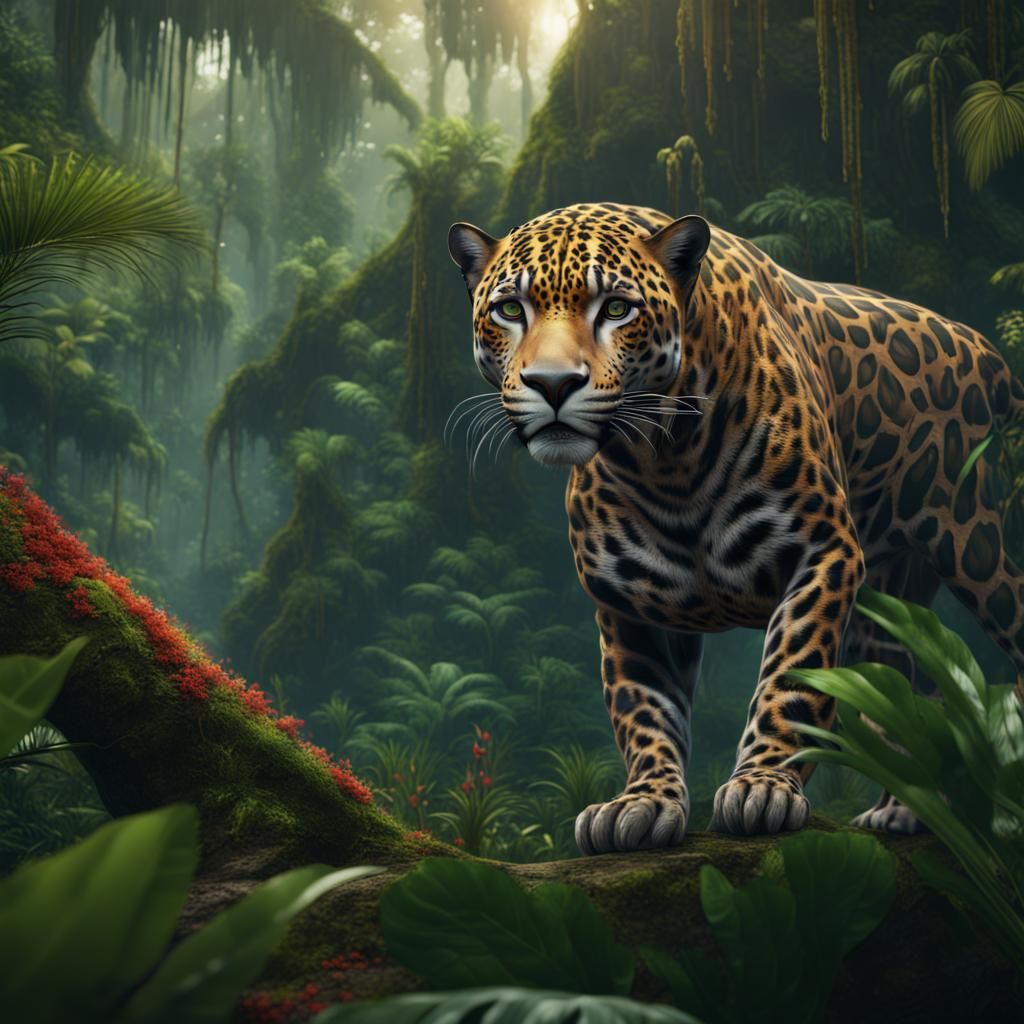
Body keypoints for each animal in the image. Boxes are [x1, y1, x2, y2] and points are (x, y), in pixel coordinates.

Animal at [447, 201, 1024, 854]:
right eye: (510, 310)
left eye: (616, 309)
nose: (552, 384)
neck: (663, 461)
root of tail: (976, 342)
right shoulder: (626, 603)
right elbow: (644, 711)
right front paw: (642, 802)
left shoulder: (824, 552)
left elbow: (792, 675)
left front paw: (762, 787)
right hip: (889, 607)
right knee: (907, 691)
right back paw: (900, 812)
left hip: (972, 543)